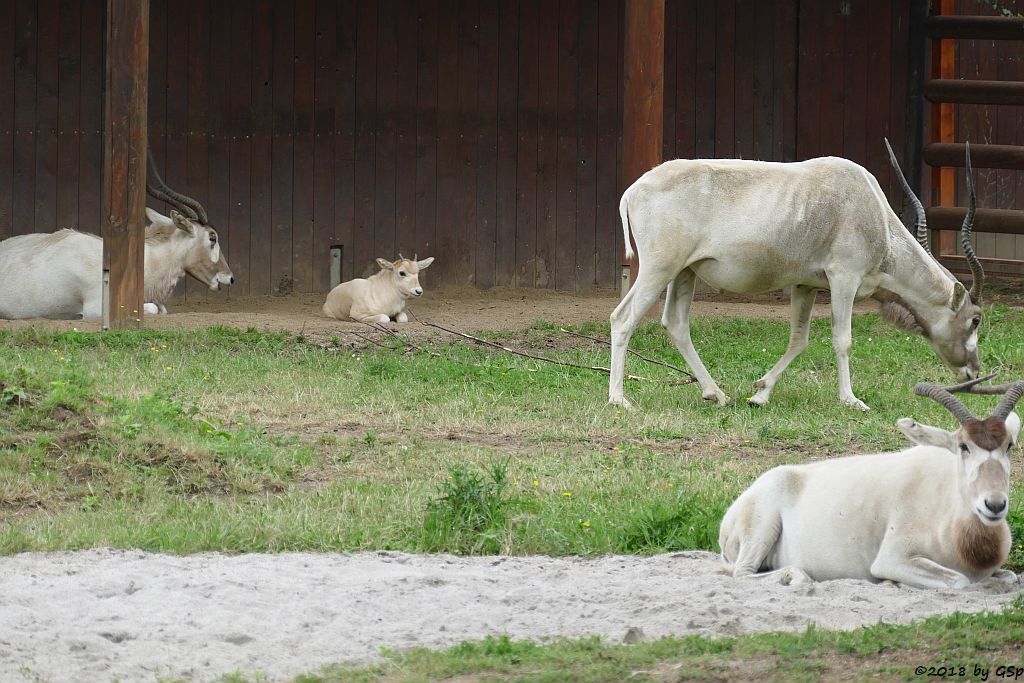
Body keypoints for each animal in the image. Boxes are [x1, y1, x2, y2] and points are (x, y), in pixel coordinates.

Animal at [606, 137, 983, 405]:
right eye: (975, 320)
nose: (973, 373)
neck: (874, 212)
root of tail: (633, 191)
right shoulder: (844, 278)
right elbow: (842, 339)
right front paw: (851, 400)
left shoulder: (806, 285)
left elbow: (798, 341)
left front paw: (760, 393)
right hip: (659, 268)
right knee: (623, 318)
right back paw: (619, 400)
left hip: (685, 272)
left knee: (676, 323)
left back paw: (716, 394)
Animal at [720, 376, 1024, 589]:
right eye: (963, 446)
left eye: (1008, 445)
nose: (994, 505)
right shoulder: (893, 558)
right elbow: (961, 580)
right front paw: (892, 582)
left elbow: (1009, 577)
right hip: (760, 531)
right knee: (743, 573)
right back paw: (794, 576)